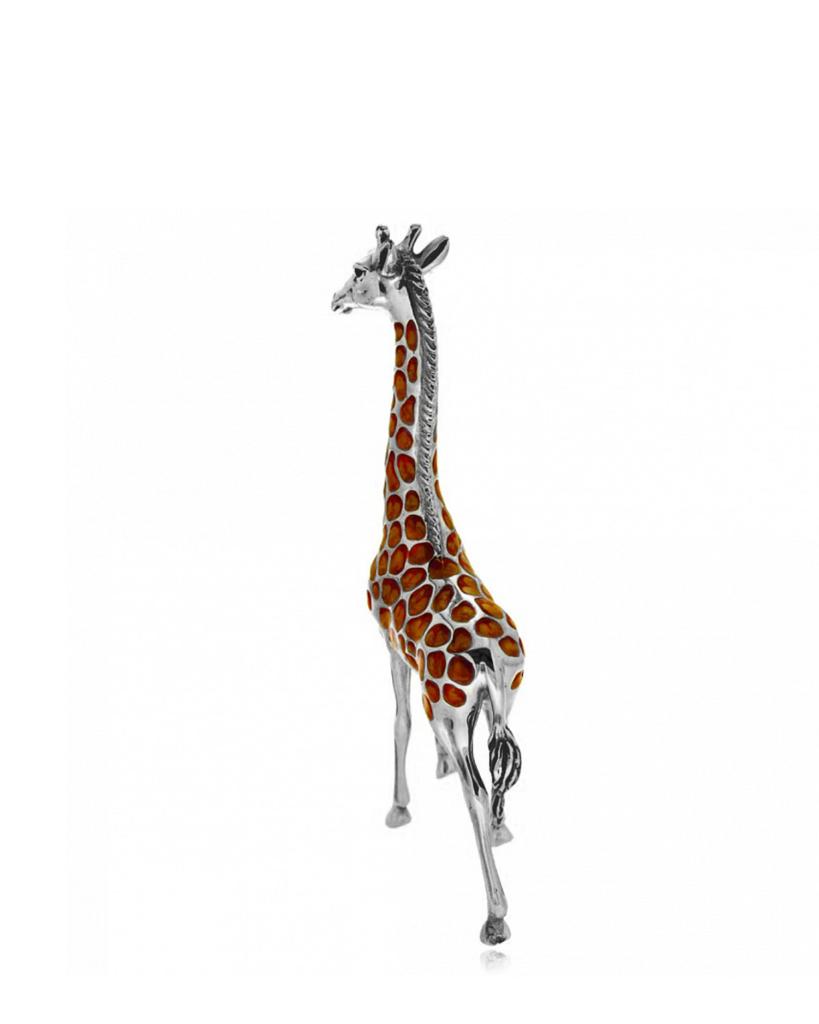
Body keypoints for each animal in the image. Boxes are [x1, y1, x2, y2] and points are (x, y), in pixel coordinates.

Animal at [331, 225, 525, 945]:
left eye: (361, 270)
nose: (334, 298)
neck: (414, 522)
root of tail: (489, 654)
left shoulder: (387, 643)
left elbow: (396, 721)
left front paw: (397, 808)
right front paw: (437, 772)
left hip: (456, 698)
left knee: (478, 787)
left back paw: (494, 919)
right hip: (505, 697)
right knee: (499, 777)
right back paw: (500, 834)